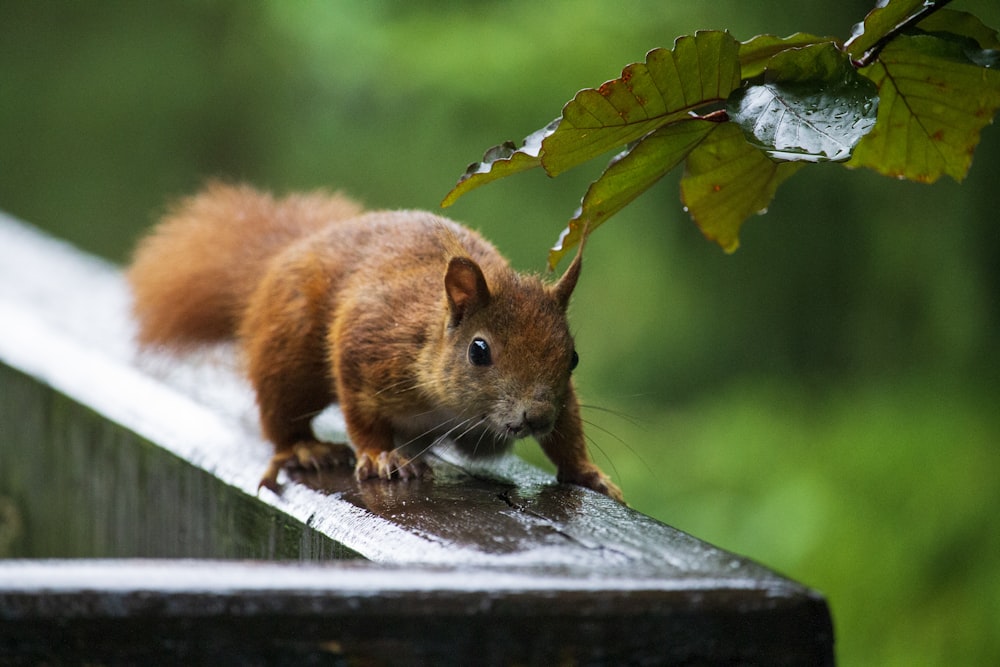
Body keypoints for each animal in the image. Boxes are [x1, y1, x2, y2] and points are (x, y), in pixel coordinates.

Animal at [129, 181, 620, 500]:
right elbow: (362, 412)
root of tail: (284, 254)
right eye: (479, 351)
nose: (536, 416)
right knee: (280, 416)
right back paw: (305, 447)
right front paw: (382, 456)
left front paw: (588, 472)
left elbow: (568, 427)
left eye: (573, 358)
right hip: (290, 350)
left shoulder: (561, 400)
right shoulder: (368, 343)